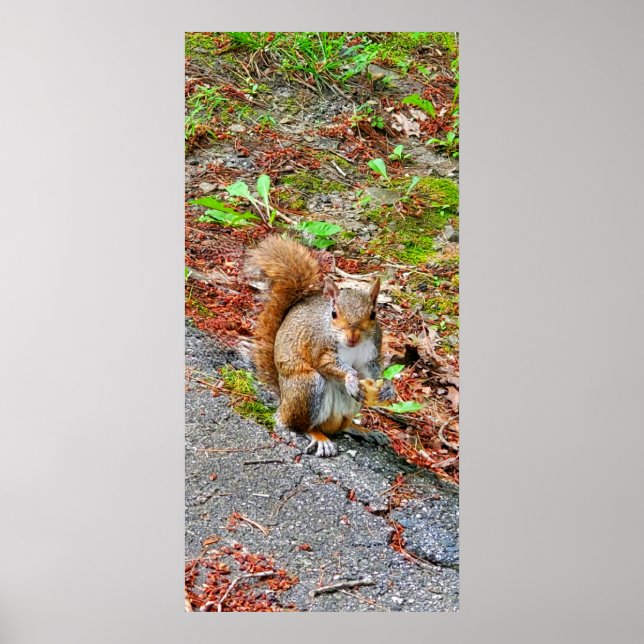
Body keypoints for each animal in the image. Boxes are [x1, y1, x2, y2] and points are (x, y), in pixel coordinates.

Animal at [247, 235, 395, 457]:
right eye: (334, 313)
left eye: (373, 314)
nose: (352, 338)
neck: (352, 347)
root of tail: (283, 403)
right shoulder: (320, 346)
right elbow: (326, 364)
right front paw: (350, 378)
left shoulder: (371, 353)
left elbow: (371, 370)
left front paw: (387, 386)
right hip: (308, 387)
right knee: (299, 425)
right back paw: (319, 438)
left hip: (350, 405)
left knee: (340, 427)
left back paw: (362, 430)